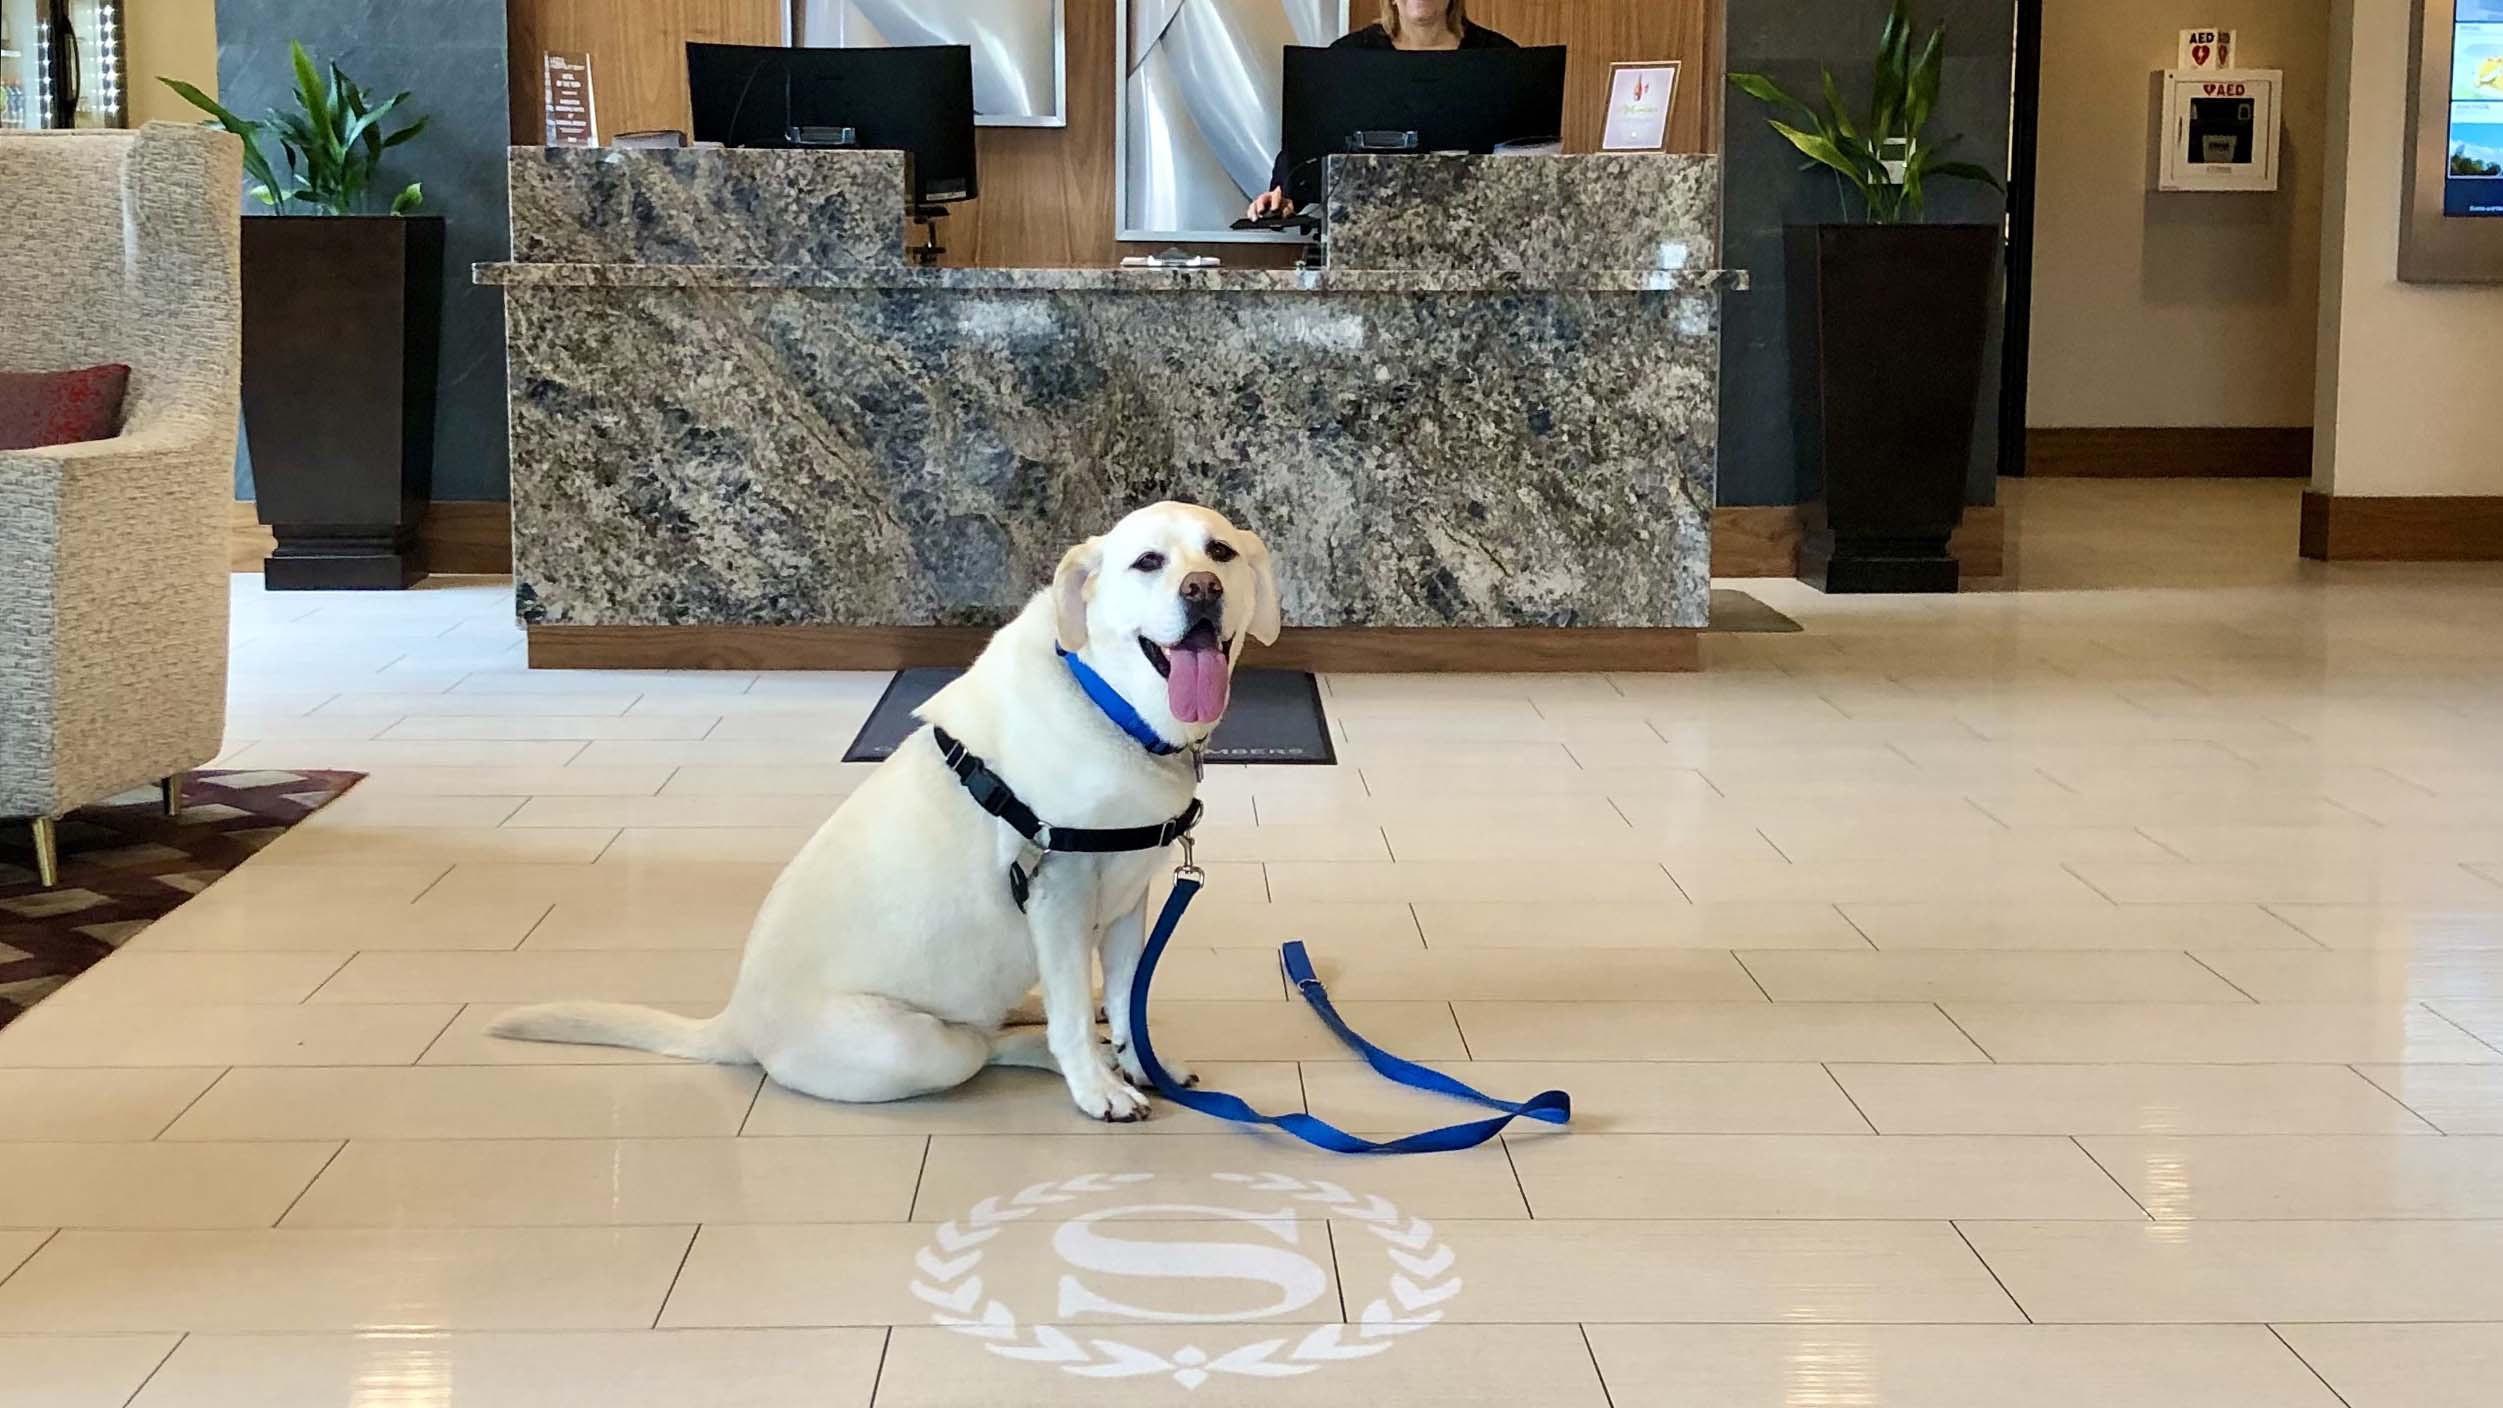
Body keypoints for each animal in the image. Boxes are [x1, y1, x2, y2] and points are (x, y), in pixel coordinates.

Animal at [488, 507, 1281, 1125]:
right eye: (1147, 562)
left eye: (1219, 552)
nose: (1202, 589)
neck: (1107, 702)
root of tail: (736, 1024)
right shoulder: (1057, 892)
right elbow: (1077, 1018)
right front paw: (1102, 1086)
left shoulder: (1126, 899)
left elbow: (1126, 992)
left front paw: (1141, 1060)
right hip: (922, 1046)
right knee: (991, 1045)